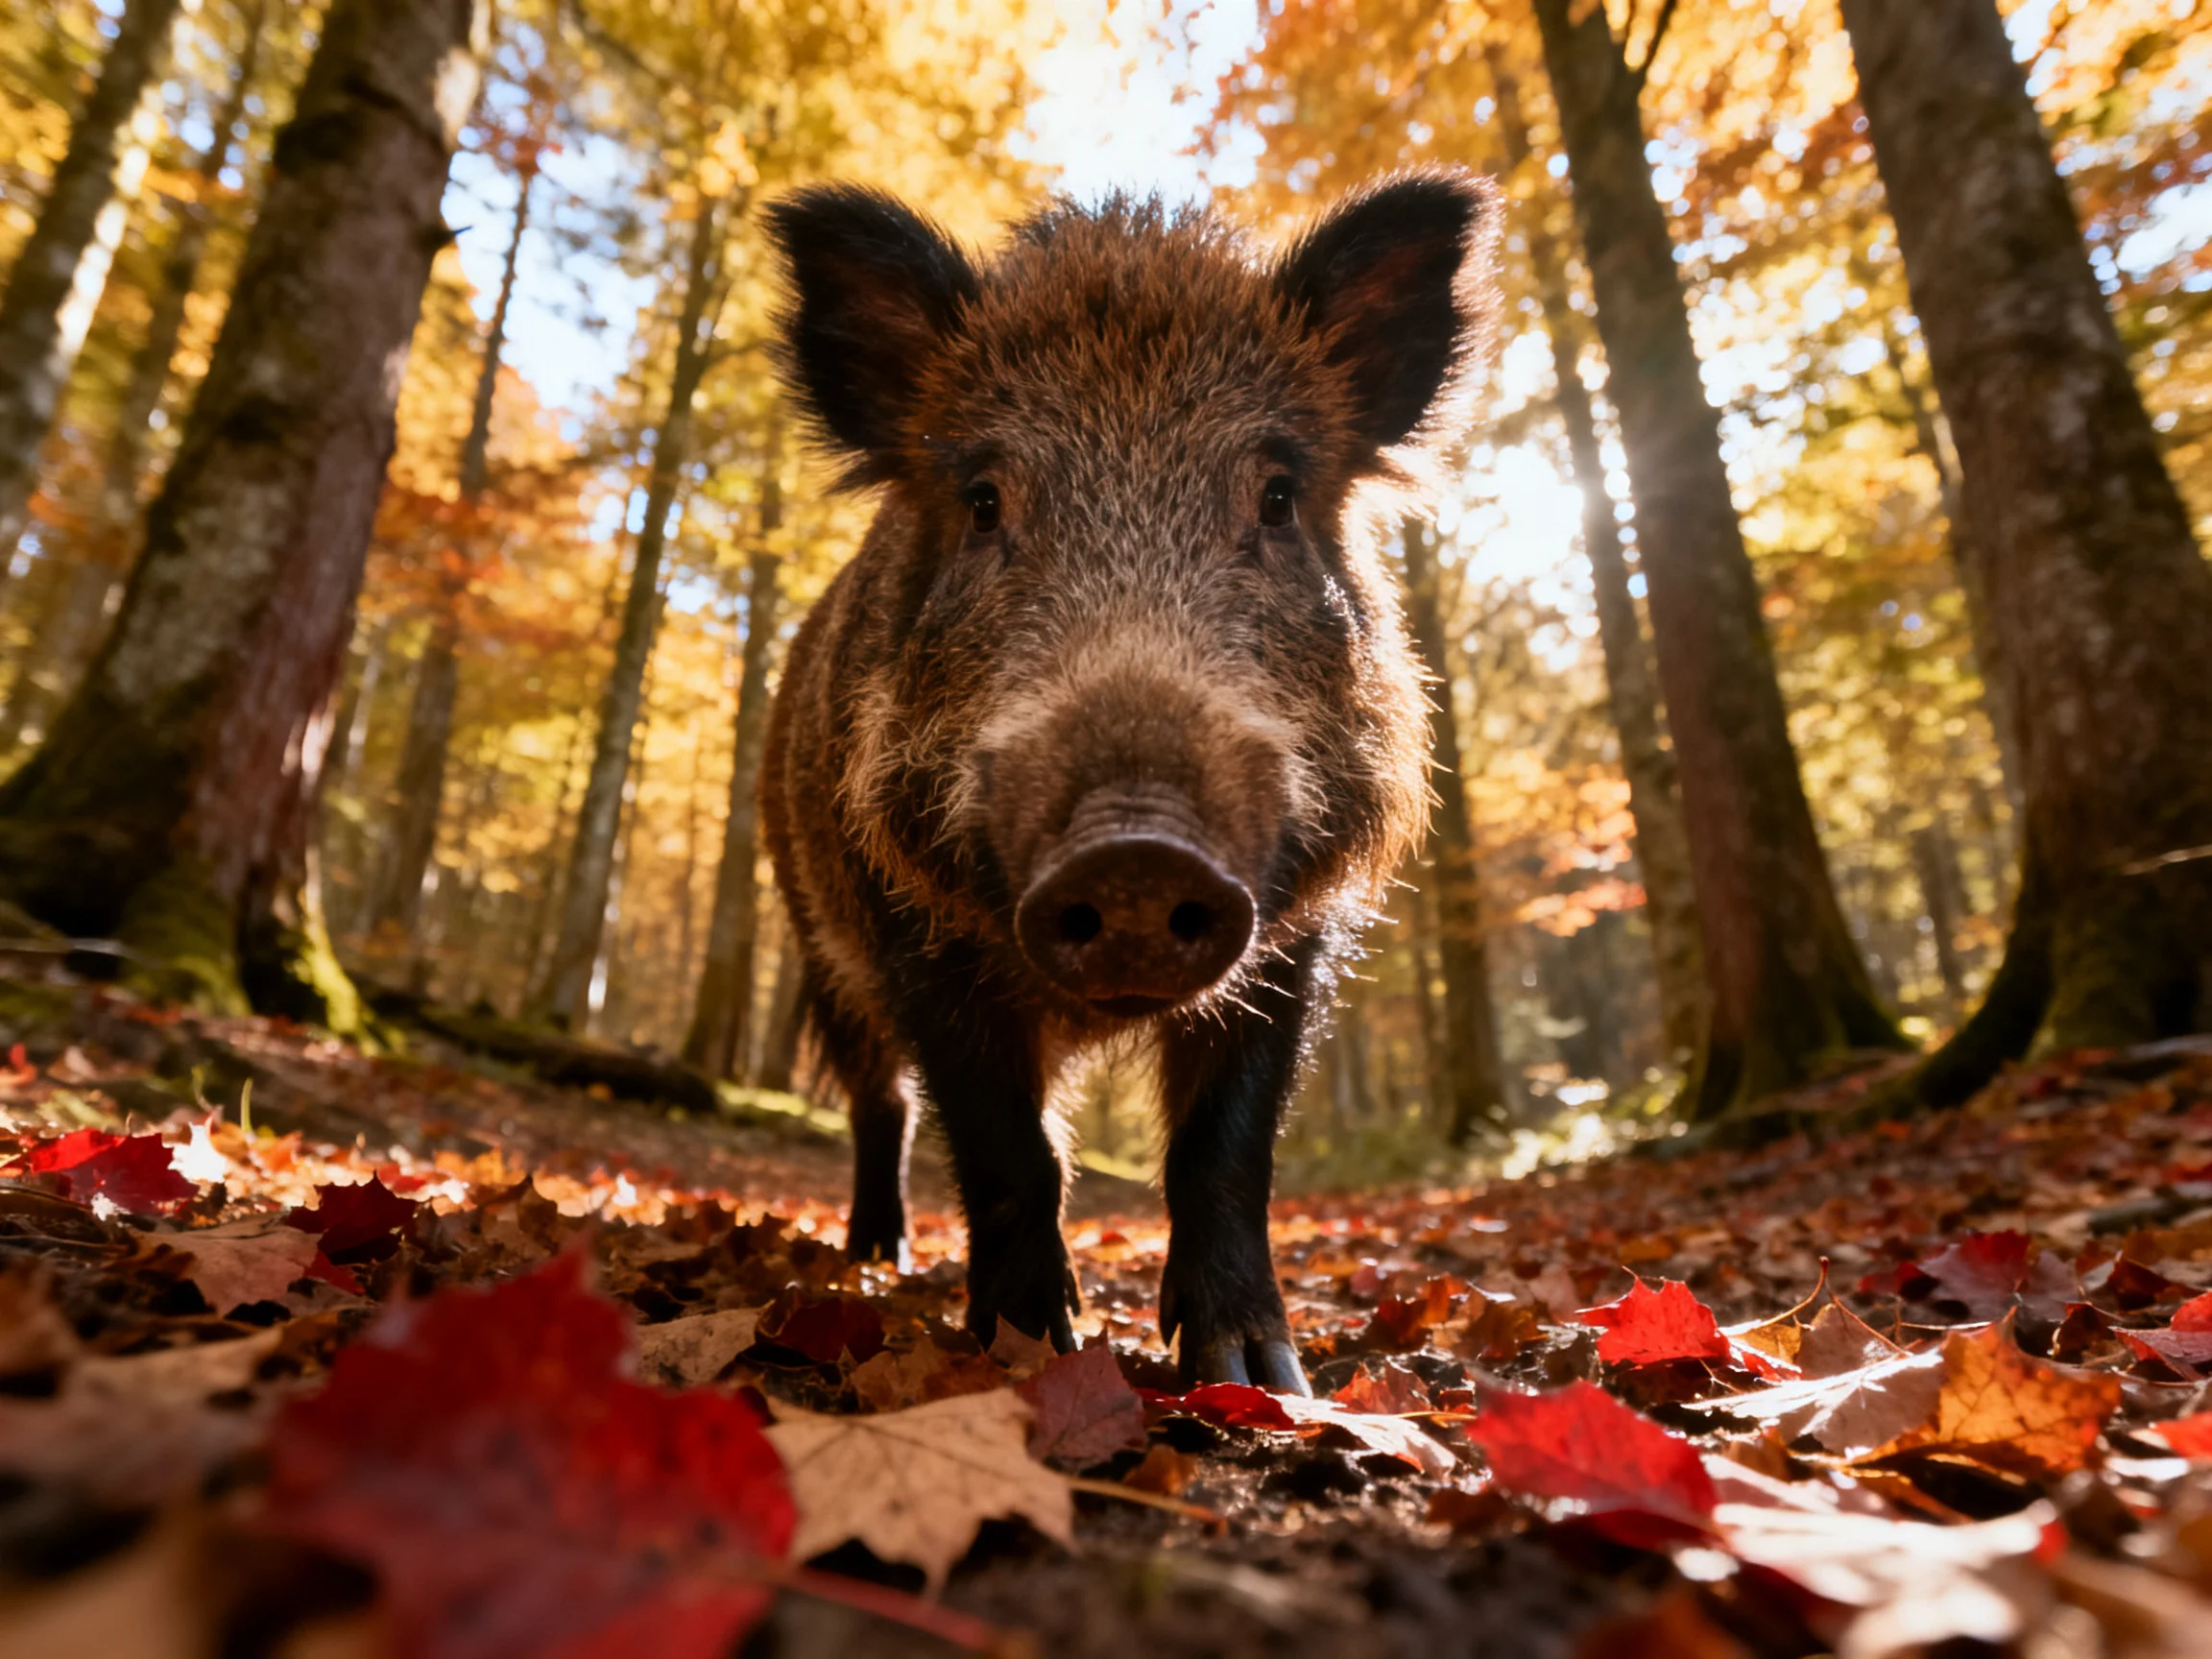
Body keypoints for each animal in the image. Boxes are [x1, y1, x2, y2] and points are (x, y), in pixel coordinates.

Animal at [758, 171, 1499, 1393]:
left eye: (1278, 498)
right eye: (983, 501)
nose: (1137, 849)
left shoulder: (1294, 936)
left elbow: (1224, 1150)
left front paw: (1255, 1376)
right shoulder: (909, 929)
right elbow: (1006, 1150)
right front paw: (1022, 1352)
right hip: (818, 941)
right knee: (880, 1101)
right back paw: (873, 1260)